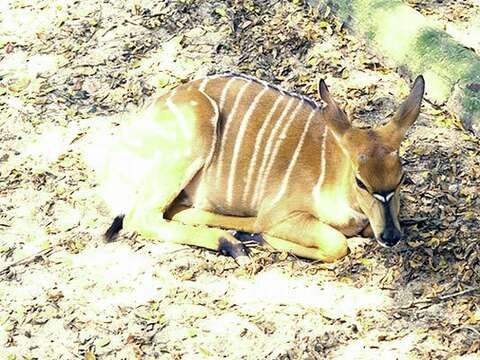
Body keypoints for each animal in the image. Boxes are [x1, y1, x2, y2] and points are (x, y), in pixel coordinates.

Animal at [102, 72, 424, 264]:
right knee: (140, 217)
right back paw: (233, 242)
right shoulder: (282, 213)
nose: (391, 237)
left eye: (401, 177)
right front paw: (262, 236)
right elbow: (335, 244)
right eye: (360, 181)